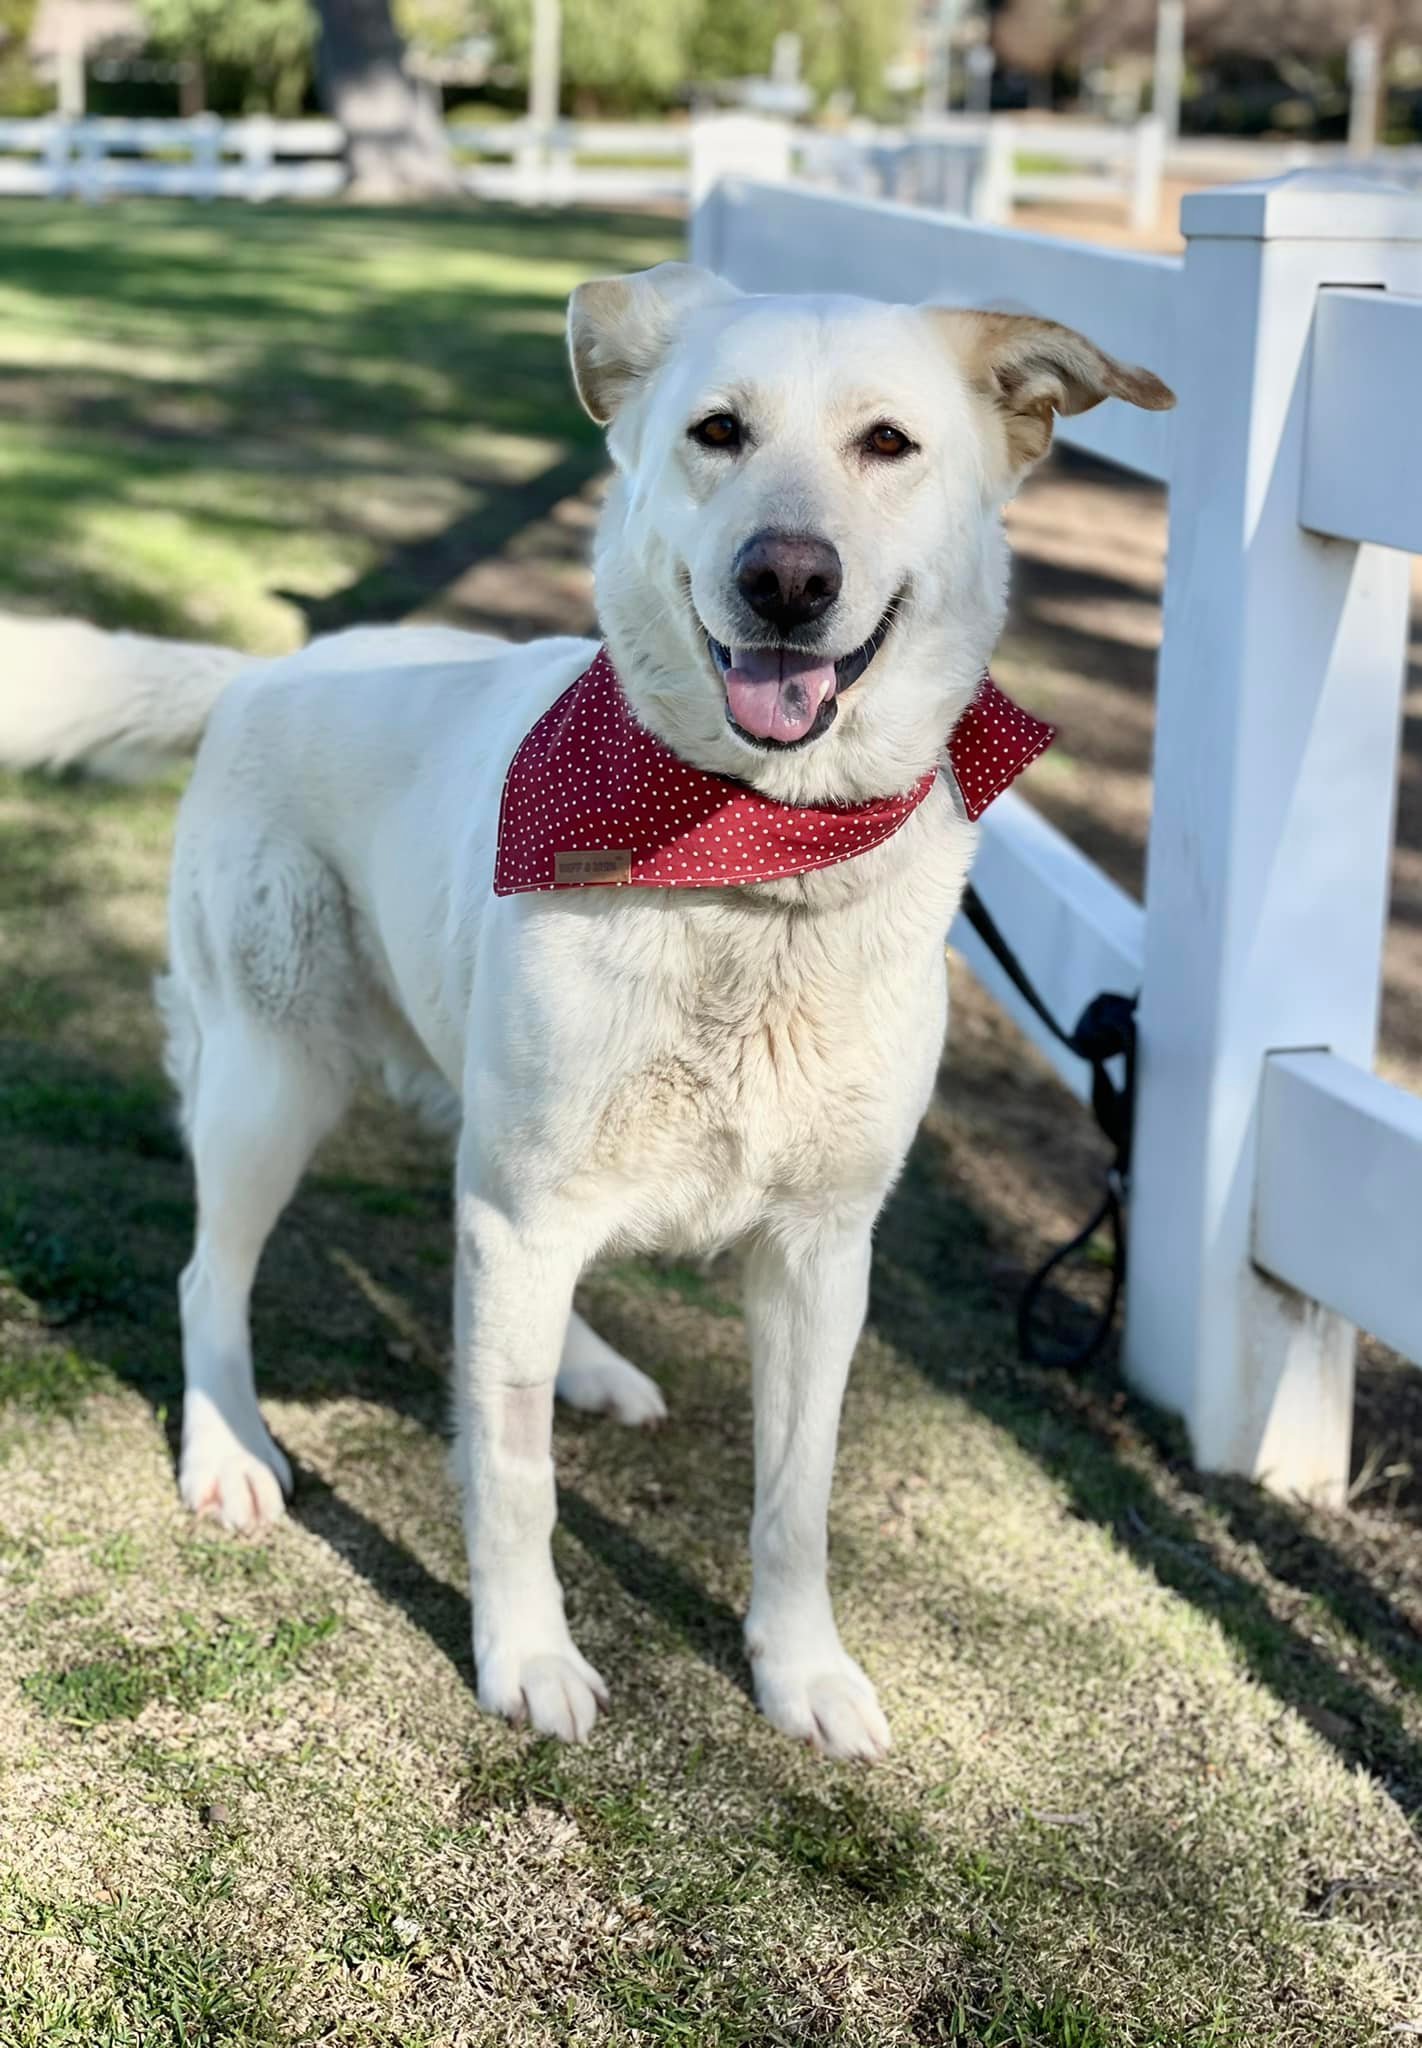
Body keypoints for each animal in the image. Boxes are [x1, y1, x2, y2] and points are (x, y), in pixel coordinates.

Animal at [2, 264, 1172, 1753]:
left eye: (888, 444)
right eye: (719, 432)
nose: (787, 579)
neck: (750, 862)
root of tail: (264, 672)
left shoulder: (817, 1254)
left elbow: (794, 1500)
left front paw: (801, 1672)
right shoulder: (525, 1208)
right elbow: (513, 1481)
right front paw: (525, 1656)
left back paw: (587, 1366)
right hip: (276, 1079)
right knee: (212, 1276)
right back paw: (229, 1452)